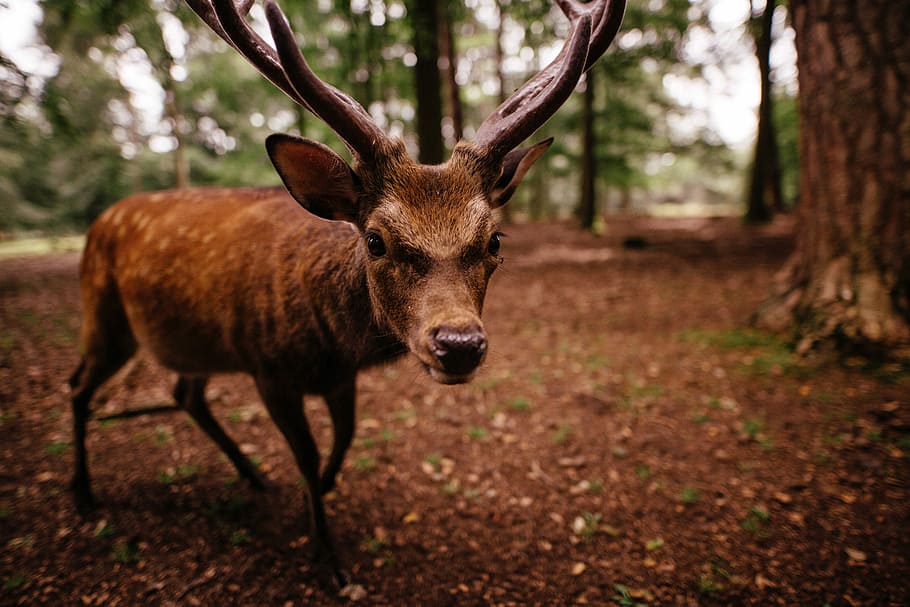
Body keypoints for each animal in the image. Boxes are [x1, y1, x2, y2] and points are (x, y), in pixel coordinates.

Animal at [68, 0, 626, 588]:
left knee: (185, 394)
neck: (327, 343)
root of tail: (99, 221)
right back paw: (83, 492)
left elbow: (346, 438)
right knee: (80, 384)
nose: (458, 344)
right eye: (375, 240)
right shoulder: (267, 369)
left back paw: (254, 477)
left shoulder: (340, 378)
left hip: (190, 341)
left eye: (494, 239)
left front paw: (322, 494)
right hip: (103, 315)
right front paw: (327, 555)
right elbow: (309, 456)